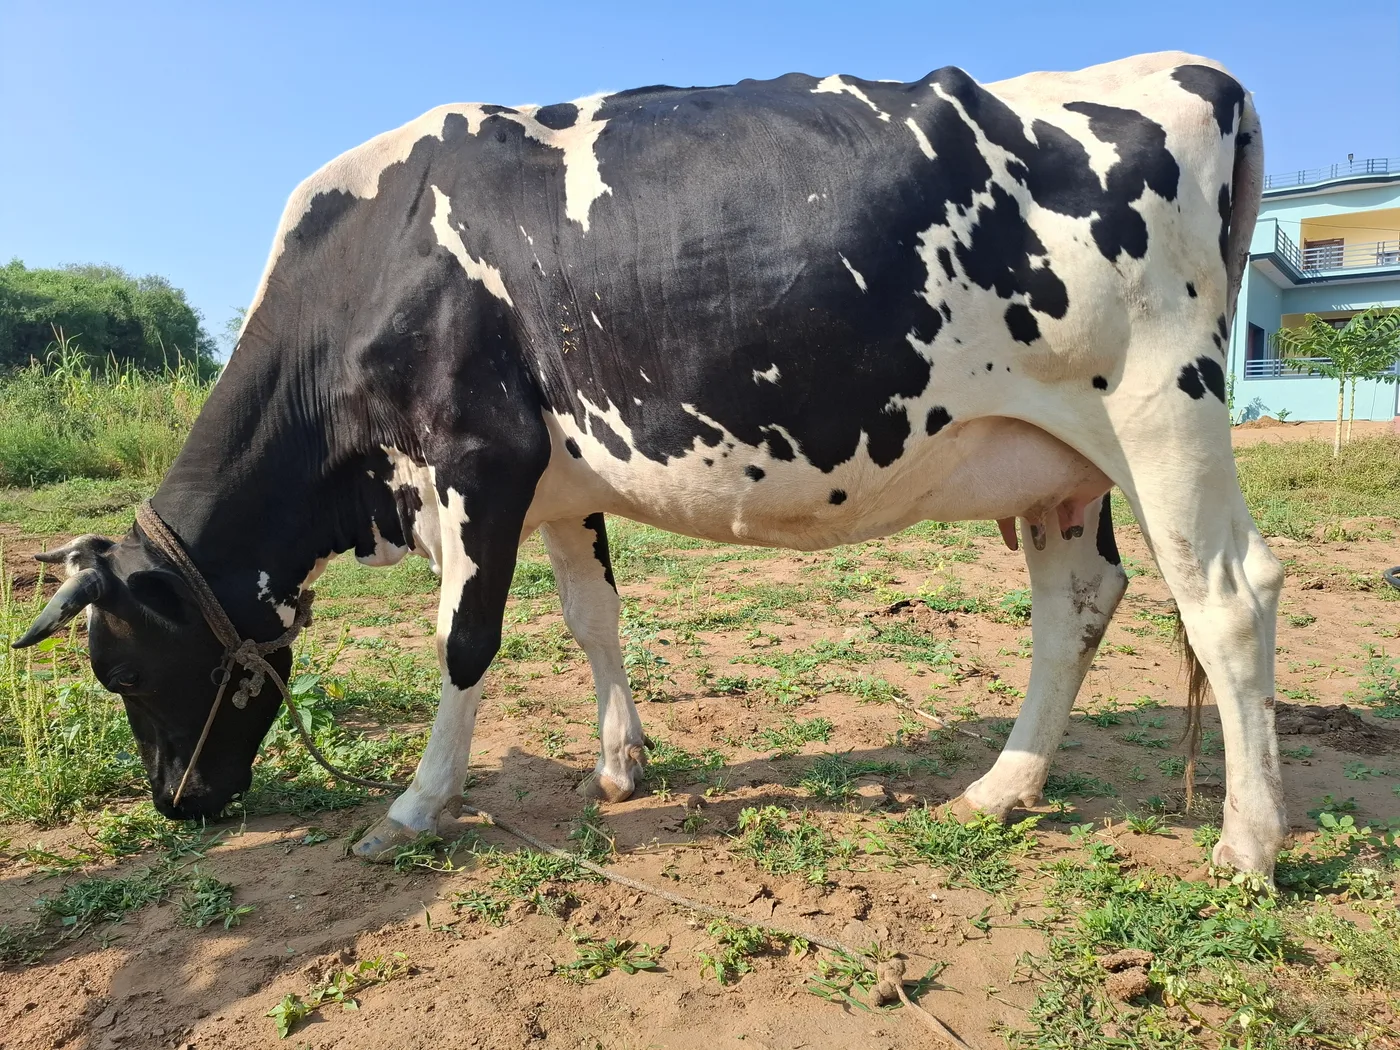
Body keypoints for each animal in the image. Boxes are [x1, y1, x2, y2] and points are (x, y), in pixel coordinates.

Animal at [15, 51, 1290, 876]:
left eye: (122, 673)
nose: (179, 804)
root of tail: (1191, 71)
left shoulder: (476, 457)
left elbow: (463, 642)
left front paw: (416, 805)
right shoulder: (555, 483)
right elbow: (594, 617)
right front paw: (620, 764)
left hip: (1157, 406)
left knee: (1226, 596)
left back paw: (1248, 843)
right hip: (1057, 461)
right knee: (1075, 602)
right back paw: (999, 788)